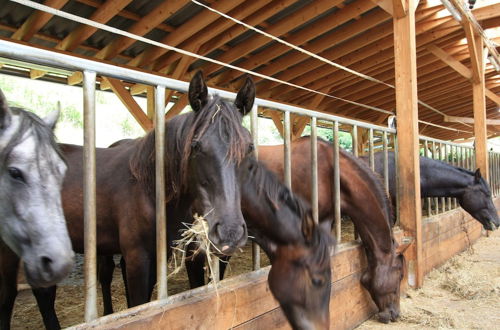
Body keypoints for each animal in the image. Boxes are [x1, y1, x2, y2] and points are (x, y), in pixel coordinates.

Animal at [0, 72, 256, 330]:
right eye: (195, 146)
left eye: (249, 147)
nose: (231, 232)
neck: (148, 189)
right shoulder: (137, 258)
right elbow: (139, 305)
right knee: (16, 294)